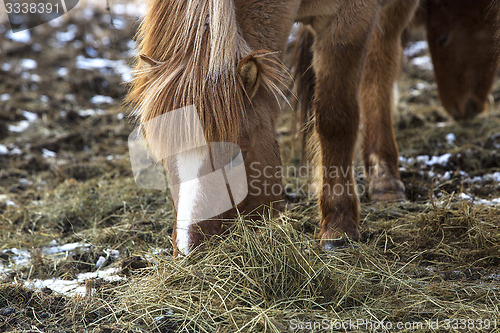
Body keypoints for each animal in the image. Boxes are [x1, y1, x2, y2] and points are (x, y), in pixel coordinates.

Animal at [126, 0, 492, 255]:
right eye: (164, 159)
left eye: (233, 156)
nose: (188, 252)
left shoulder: (349, 22)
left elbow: (336, 118)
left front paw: (339, 229)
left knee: (380, 62)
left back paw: (385, 179)